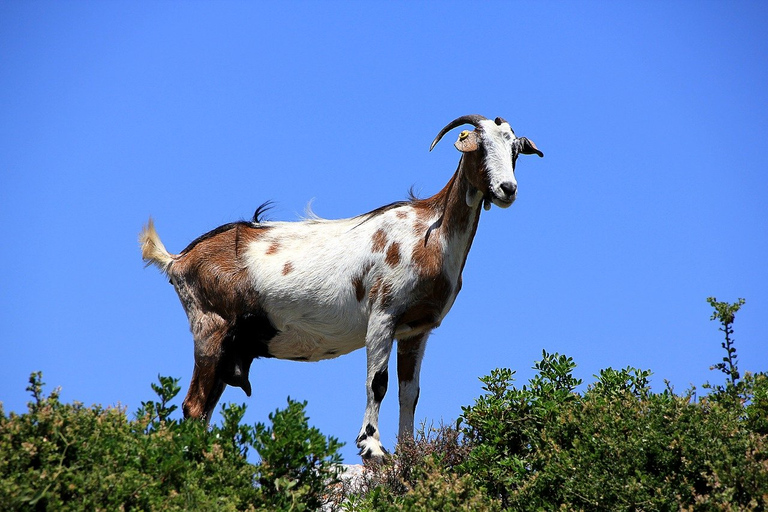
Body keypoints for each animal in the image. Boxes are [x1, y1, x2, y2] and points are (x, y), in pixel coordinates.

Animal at [141, 114, 544, 458]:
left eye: (514, 150)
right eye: (480, 146)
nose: (507, 189)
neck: (430, 233)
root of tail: (178, 260)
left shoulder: (416, 330)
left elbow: (409, 393)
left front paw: (408, 453)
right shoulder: (382, 315)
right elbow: (377, 383)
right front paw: (372, 447)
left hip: (230, 346)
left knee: (205, 409)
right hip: (210, 329)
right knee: (193, 406)